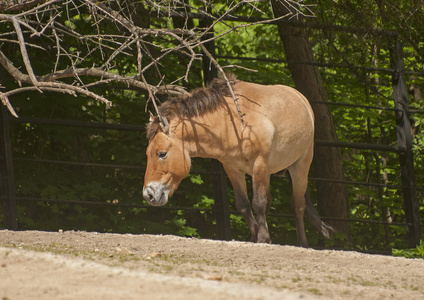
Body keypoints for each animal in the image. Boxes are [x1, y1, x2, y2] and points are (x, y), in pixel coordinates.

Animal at [142, 74, 334, 247]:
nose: (148, 194)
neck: (232, 122)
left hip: (300, 165)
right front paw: (255, 236)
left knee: (298, 204)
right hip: (268, 172)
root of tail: (301, 98)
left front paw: (262, 238)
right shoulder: (232, 169)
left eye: (162, 154)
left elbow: (258, 203)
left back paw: (302, 242)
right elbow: (244, 204)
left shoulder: (258, 164)